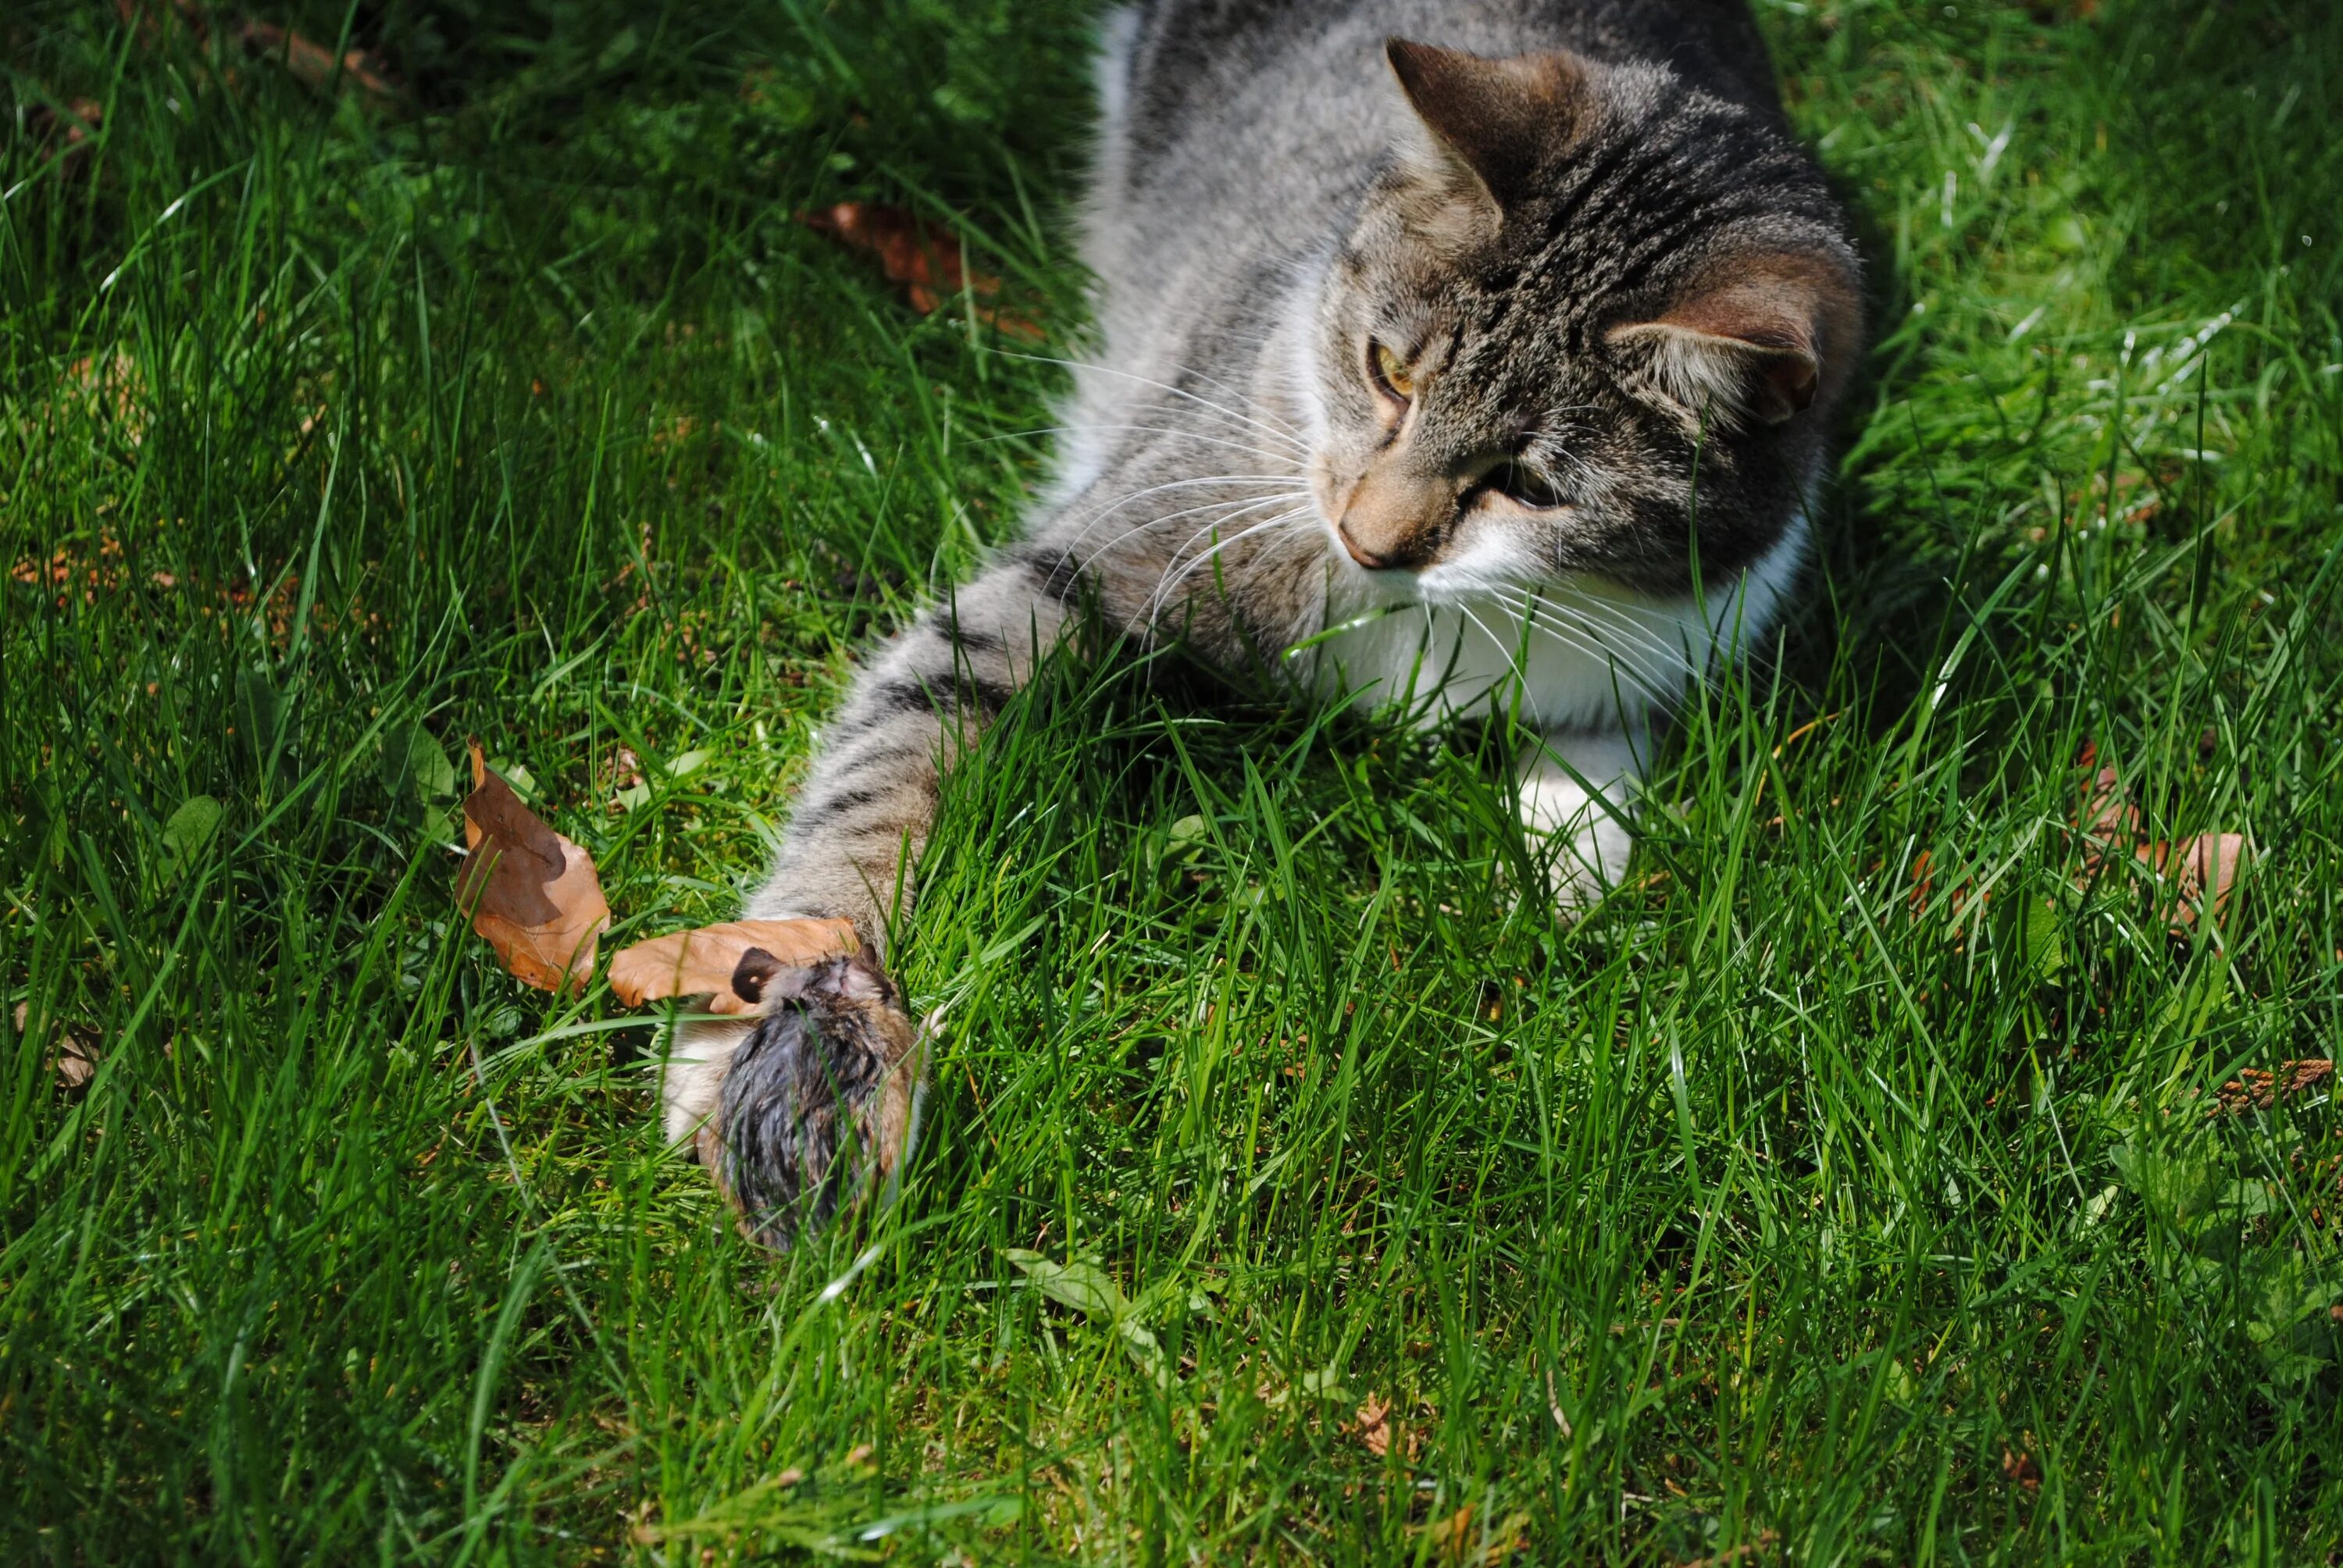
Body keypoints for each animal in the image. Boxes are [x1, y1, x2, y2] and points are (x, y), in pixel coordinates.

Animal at [670, 0, 1856, 1246]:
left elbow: (1598, 777)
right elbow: (906, 733)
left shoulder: (1670, 639)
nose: (1367, 541)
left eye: (1532, 486)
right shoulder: (1094, 553)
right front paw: (770, 1019)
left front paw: (1557, 885)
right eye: (1386, 369)